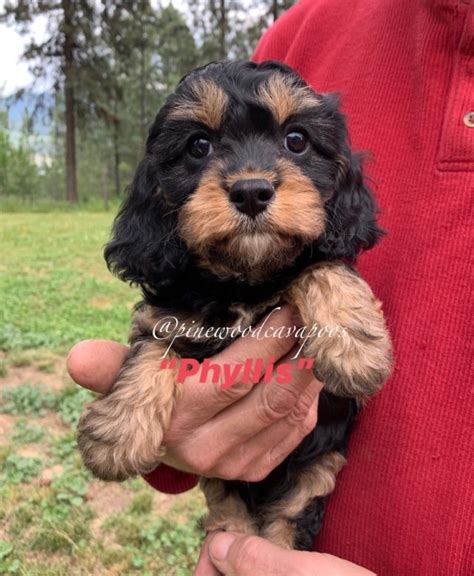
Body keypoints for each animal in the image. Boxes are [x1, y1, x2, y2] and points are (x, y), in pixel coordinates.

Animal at [78, 60, 390, 552]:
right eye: (198, 146)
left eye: (296, 139)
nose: (251, 191)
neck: (243, 280)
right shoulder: (169, 315)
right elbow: (151, 349)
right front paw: (117, 434)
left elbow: (322, 267)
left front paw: (357, 352)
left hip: (314, 476)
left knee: (286, 524)